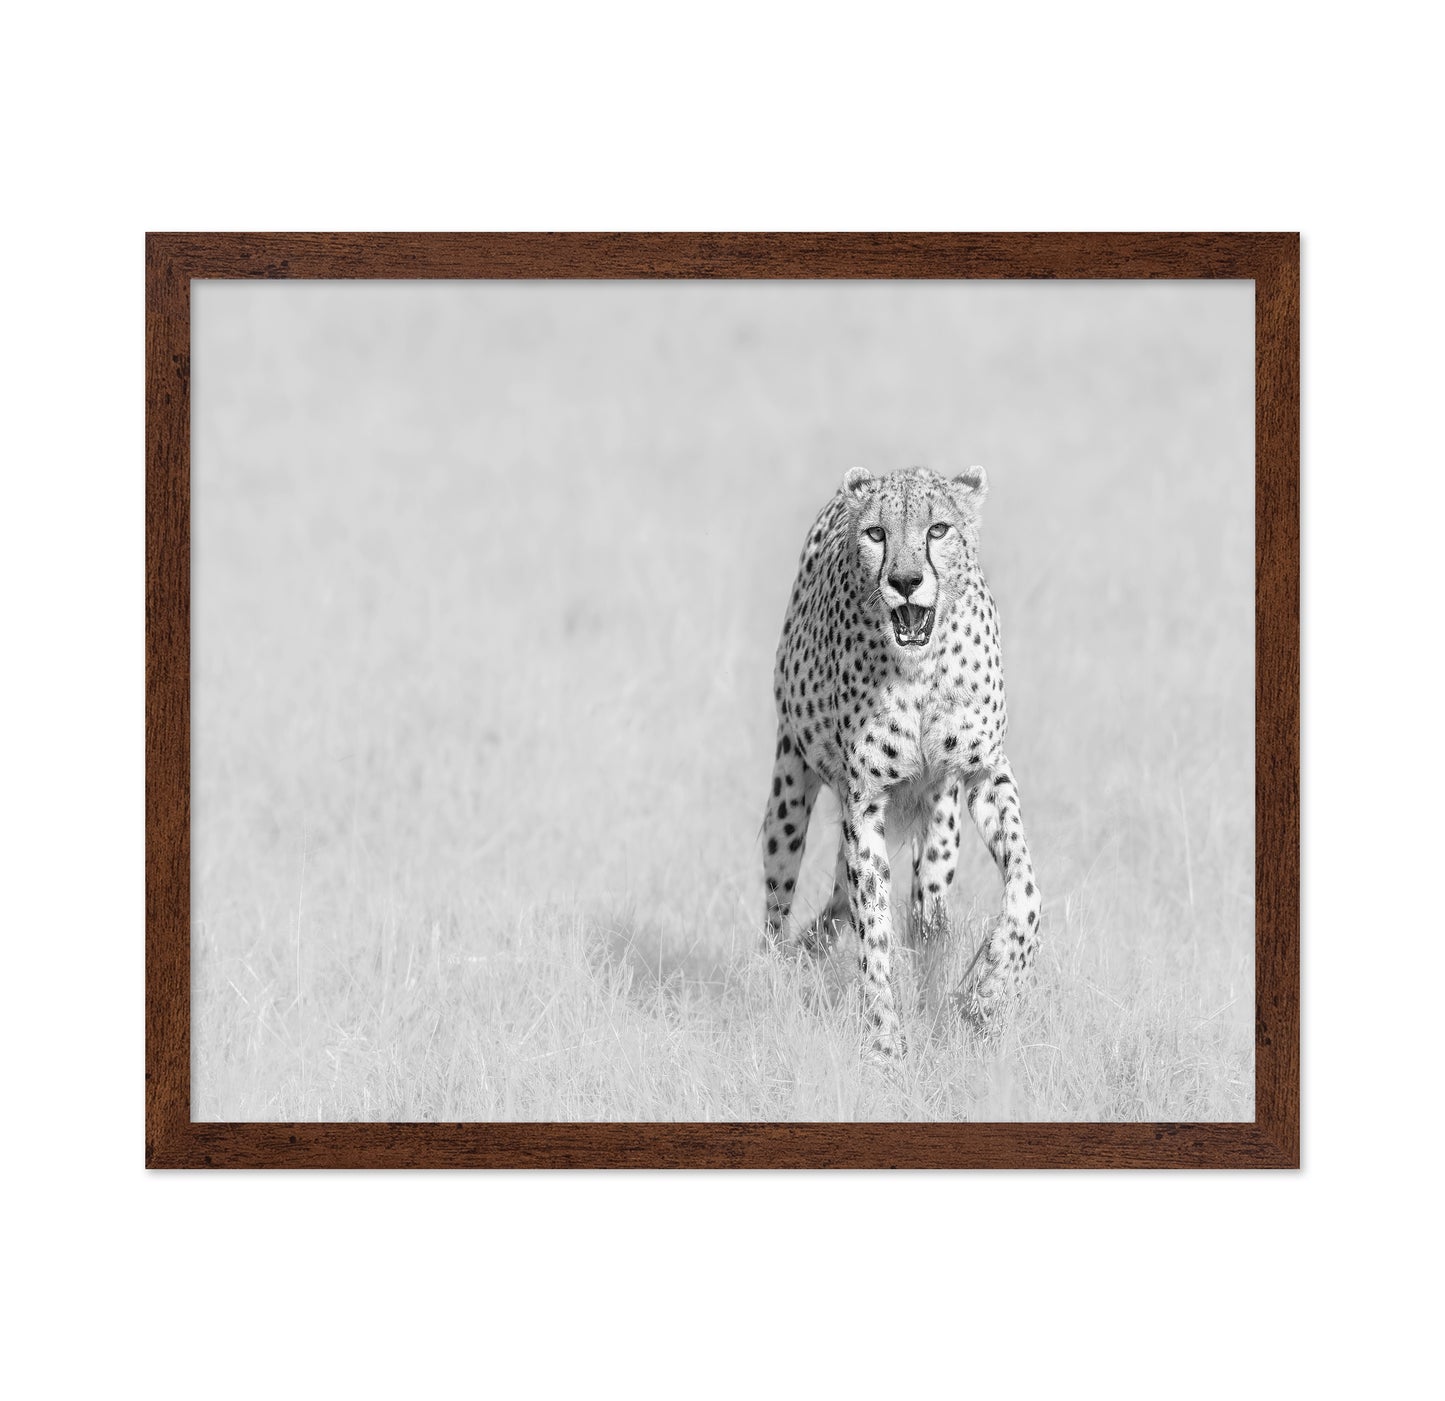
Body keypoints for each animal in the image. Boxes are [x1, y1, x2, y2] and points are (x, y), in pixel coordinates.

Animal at [761, 465, 1041, 1058]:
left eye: (938, 529)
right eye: (876, 534)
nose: (907, 581)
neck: (919, 668)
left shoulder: (985, 772)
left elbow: (1027, 889)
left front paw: (991, 987)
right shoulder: (864, 800)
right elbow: (873, 927)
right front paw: (885, 1043)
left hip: (940, 831)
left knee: (924, 916)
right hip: (789, 791)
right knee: (779, 904)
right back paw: (773, 976)